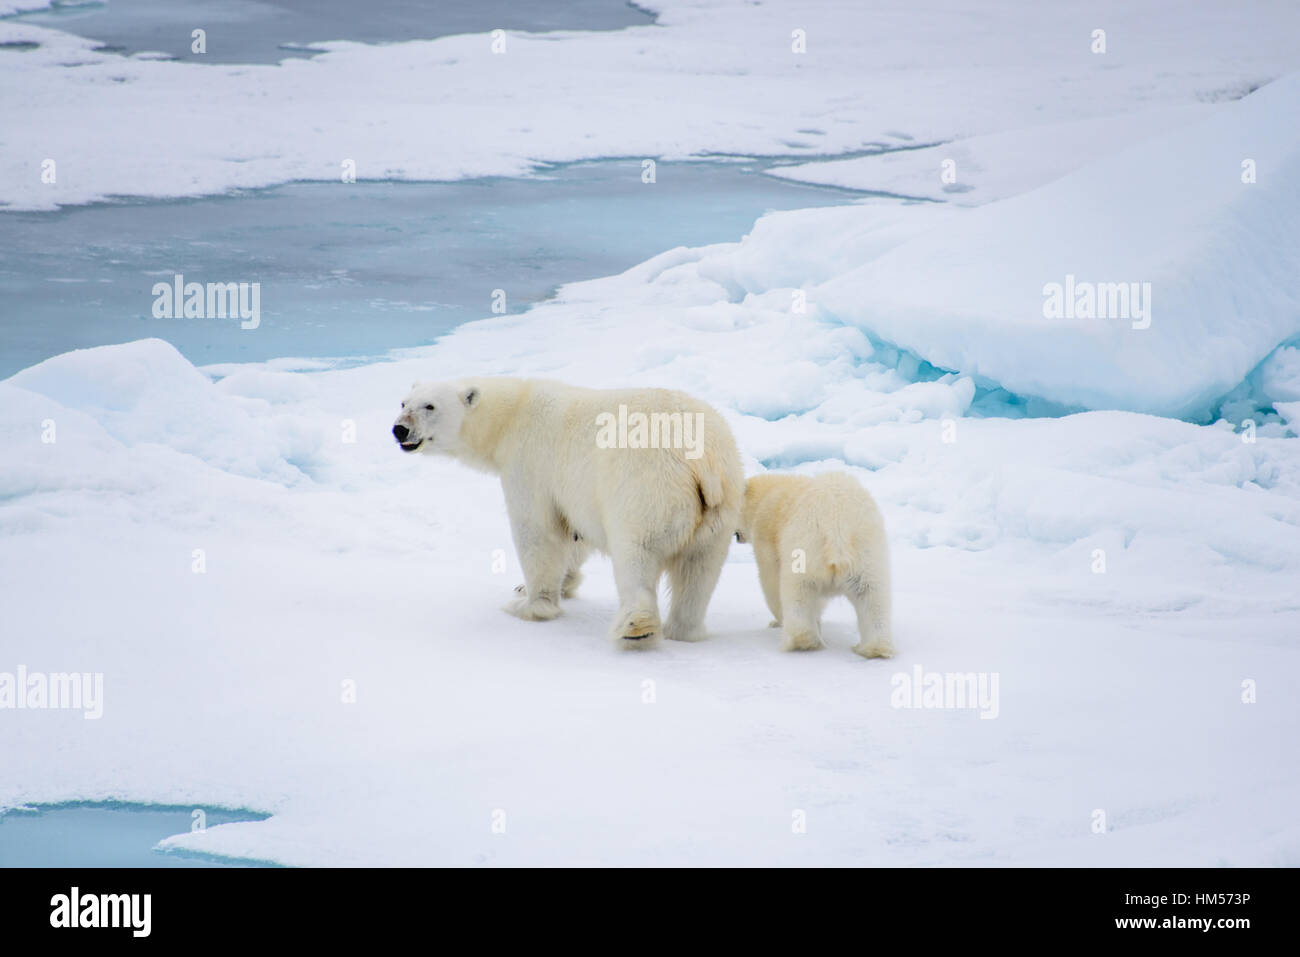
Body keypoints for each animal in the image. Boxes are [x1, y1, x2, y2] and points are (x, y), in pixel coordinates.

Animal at [390, 377, 743, 647]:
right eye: (403, 403)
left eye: (430, 406)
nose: (399, 430)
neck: (513, 413)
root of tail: (704, 460)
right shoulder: (575, 490)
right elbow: (575, 533)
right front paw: (547, 584)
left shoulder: (531, 463)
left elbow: (537, 532)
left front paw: (529, 603)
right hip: (720, 508)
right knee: (699, 571)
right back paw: (684, 630)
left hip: (647, 488)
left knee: (637, 554)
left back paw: (636, 628)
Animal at [743, 473, 894, 657]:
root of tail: (837, 526)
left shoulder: (765, 533)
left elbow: (770, 582)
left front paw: (776, 622)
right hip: (867, 548)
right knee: (871, 594)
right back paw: (874, 648)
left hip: (806, 546)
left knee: (799, 591)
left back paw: (802, 641)